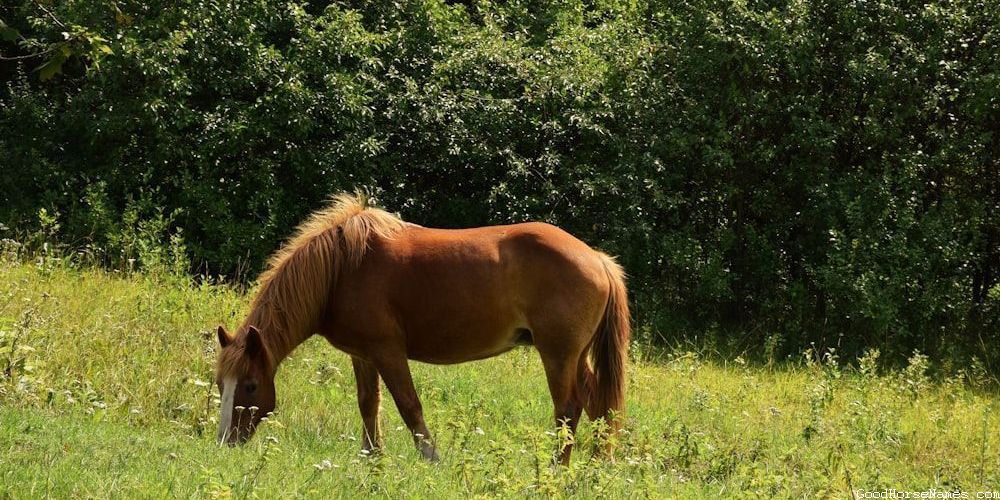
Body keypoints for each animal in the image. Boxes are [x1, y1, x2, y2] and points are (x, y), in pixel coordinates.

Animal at [214, 193, 630, 464]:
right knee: (598, 403)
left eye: (249, 385)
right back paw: (597, 466)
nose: (224, 443)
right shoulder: (363, 356)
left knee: (568, 408)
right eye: (221, 385)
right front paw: (371, 459)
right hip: (575, 356)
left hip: (557, 355)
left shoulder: (388, 352)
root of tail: (598, 258)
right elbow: (368, 404)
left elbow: (408, 405)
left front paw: (431, 458)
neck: (341, 270)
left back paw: (558, 468)